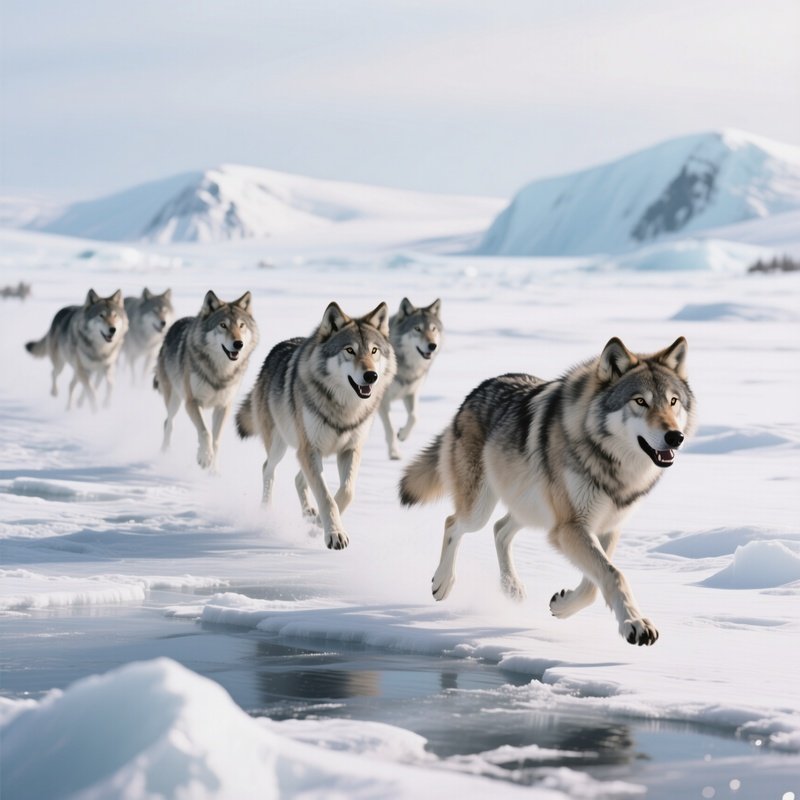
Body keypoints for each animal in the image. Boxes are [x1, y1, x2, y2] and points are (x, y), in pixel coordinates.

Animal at [154, 290, 258, 471]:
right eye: (223, 325)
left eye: (241, 325)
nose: (238, 344)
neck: (220, 371)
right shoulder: (192, 402)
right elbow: (205, 432)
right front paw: (204, 458)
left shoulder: (223, 406)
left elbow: (216, 440)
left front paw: (213, 471)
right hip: (175, 399)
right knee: (168, 423)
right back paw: (164, 454)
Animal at [236, 302, 396, 550]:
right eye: (349, 350)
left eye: (374, 351)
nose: (371, 376)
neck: (344, 409)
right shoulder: (309, 449)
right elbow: (326, 497)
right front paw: (335, 534)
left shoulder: (350, 449)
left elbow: (346, 492)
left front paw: (321, 524)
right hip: (281, 445)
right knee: (267, 469)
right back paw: (266, 512)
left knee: (298, 479)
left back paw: (310, 515)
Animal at [378, 298, 443, 460]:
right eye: (417, 329)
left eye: (433, 329)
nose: (432, 345)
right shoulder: (383, 400)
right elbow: (390, 428)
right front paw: (394, 453)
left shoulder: (411, 393)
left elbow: (414, 417)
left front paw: (402, 435)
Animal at [399, 337, 696, 646]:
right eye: (640, 401)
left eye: (673, 401)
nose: (675, 436)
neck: (612, 465)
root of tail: (475, 392)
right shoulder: (570, 527)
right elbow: (614, 575)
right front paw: (635, 624)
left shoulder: (607, 527)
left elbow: (594, 583)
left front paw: (563, 606)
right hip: (481, 510)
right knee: (453, 523)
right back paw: (443, 582)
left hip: (531, 509)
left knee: (499, 529)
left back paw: (511, 587)